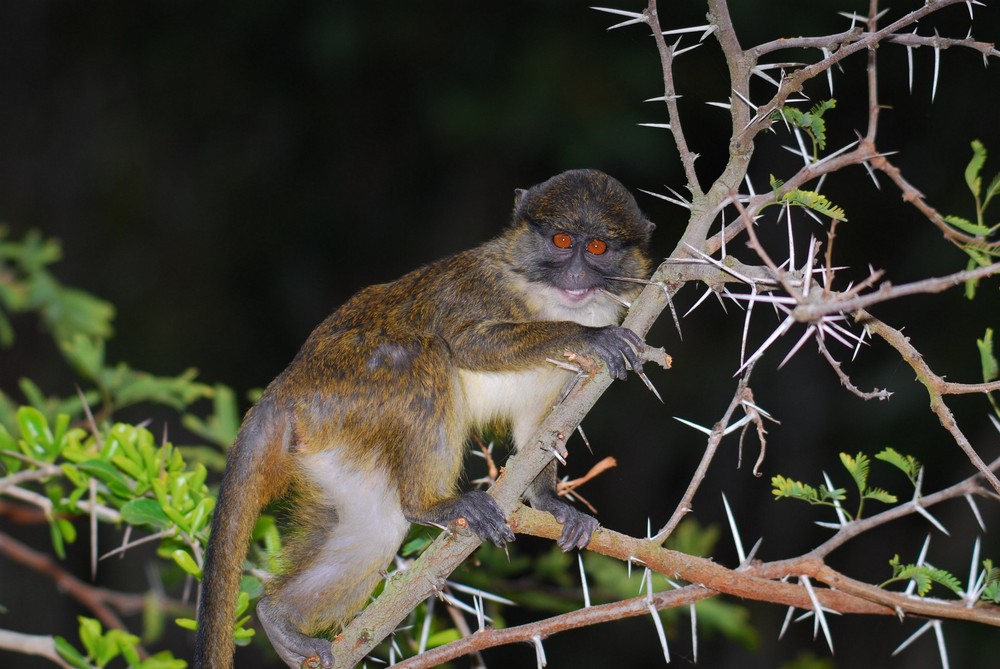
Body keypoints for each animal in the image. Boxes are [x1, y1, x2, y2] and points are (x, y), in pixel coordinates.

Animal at [194, 168, 656, 668]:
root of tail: (286, 387)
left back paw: (278, 620)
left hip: (333, 442)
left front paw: (548, 500)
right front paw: (592, 335)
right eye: (562, 240)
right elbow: (468, 343)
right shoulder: (481, 289)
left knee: (377, 528)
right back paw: (431, 504)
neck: (542, 292)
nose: (575, 274)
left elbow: (543, 429)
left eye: (597, 248)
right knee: (424, 352)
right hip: (344, 390)